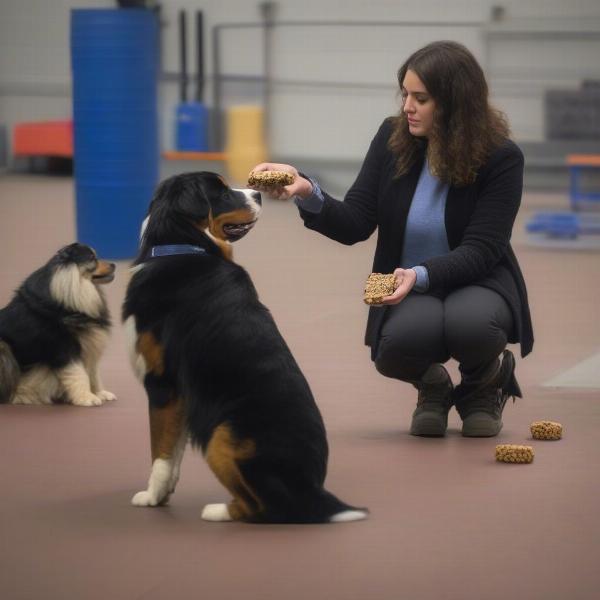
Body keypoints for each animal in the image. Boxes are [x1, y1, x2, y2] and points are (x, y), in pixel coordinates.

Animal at [0, 241, 116, 406]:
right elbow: (79, 373)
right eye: (92, 258)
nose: (114, 265)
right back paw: (24, 396)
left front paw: (100, 393)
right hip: (3, 347)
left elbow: (93, 373)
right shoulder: (64, 347)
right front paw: (87, 398)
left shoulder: (90, 345)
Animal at [121, 171, 366, 524]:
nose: (258, 194)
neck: (181, 247)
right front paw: (164, 493)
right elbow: (174, 450)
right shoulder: (182, 395)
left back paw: (217, 510)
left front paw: (151, 495)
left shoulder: (162, 383)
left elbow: (161, 451)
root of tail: (314, 491)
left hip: (222, 434)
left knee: (268, 508)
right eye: (222, 193)